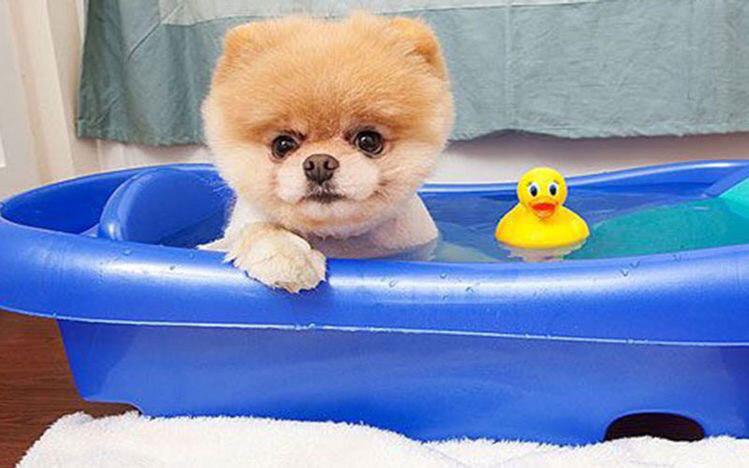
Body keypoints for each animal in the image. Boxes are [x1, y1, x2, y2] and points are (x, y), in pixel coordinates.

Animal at [202, 12, 452, 292]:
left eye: (368, 140)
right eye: (283, 145)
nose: (319, 163)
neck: (337, 239)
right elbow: (261, 228)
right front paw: (286, 256)